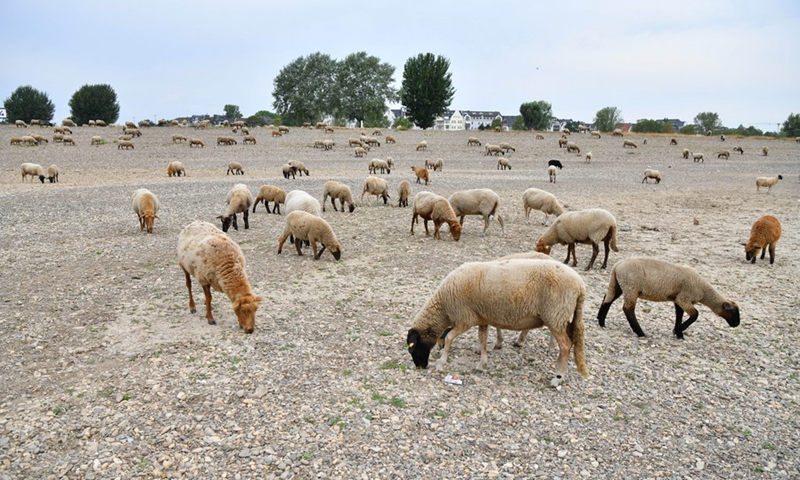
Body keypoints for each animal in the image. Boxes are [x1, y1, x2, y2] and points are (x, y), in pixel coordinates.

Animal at [406, 258, 589, 386]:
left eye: (414, 348)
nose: (420, 367)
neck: (443, 305)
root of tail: (581, 285)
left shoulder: (465, 319)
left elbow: (450, 337)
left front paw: (441, 363)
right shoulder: (481, 318)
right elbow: (482, 340)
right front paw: (481, 364)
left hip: (555, 315)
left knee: (565, 345)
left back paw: (558, 377)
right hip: (561, 317)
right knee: (569, 342)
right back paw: (559, 370)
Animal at [596, 257, 740, 339]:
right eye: (733, 312)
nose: (736, 324)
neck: (704, 291)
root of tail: (616, 266)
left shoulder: (678, 299)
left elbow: (679, 315)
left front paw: (679, 334)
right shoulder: (684, 298)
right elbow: (695, 315)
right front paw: (678, 330)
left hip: (618, 284)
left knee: (607, 299)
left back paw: (601, 322)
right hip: (631, 287)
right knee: (628, 309)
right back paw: (640, 333)